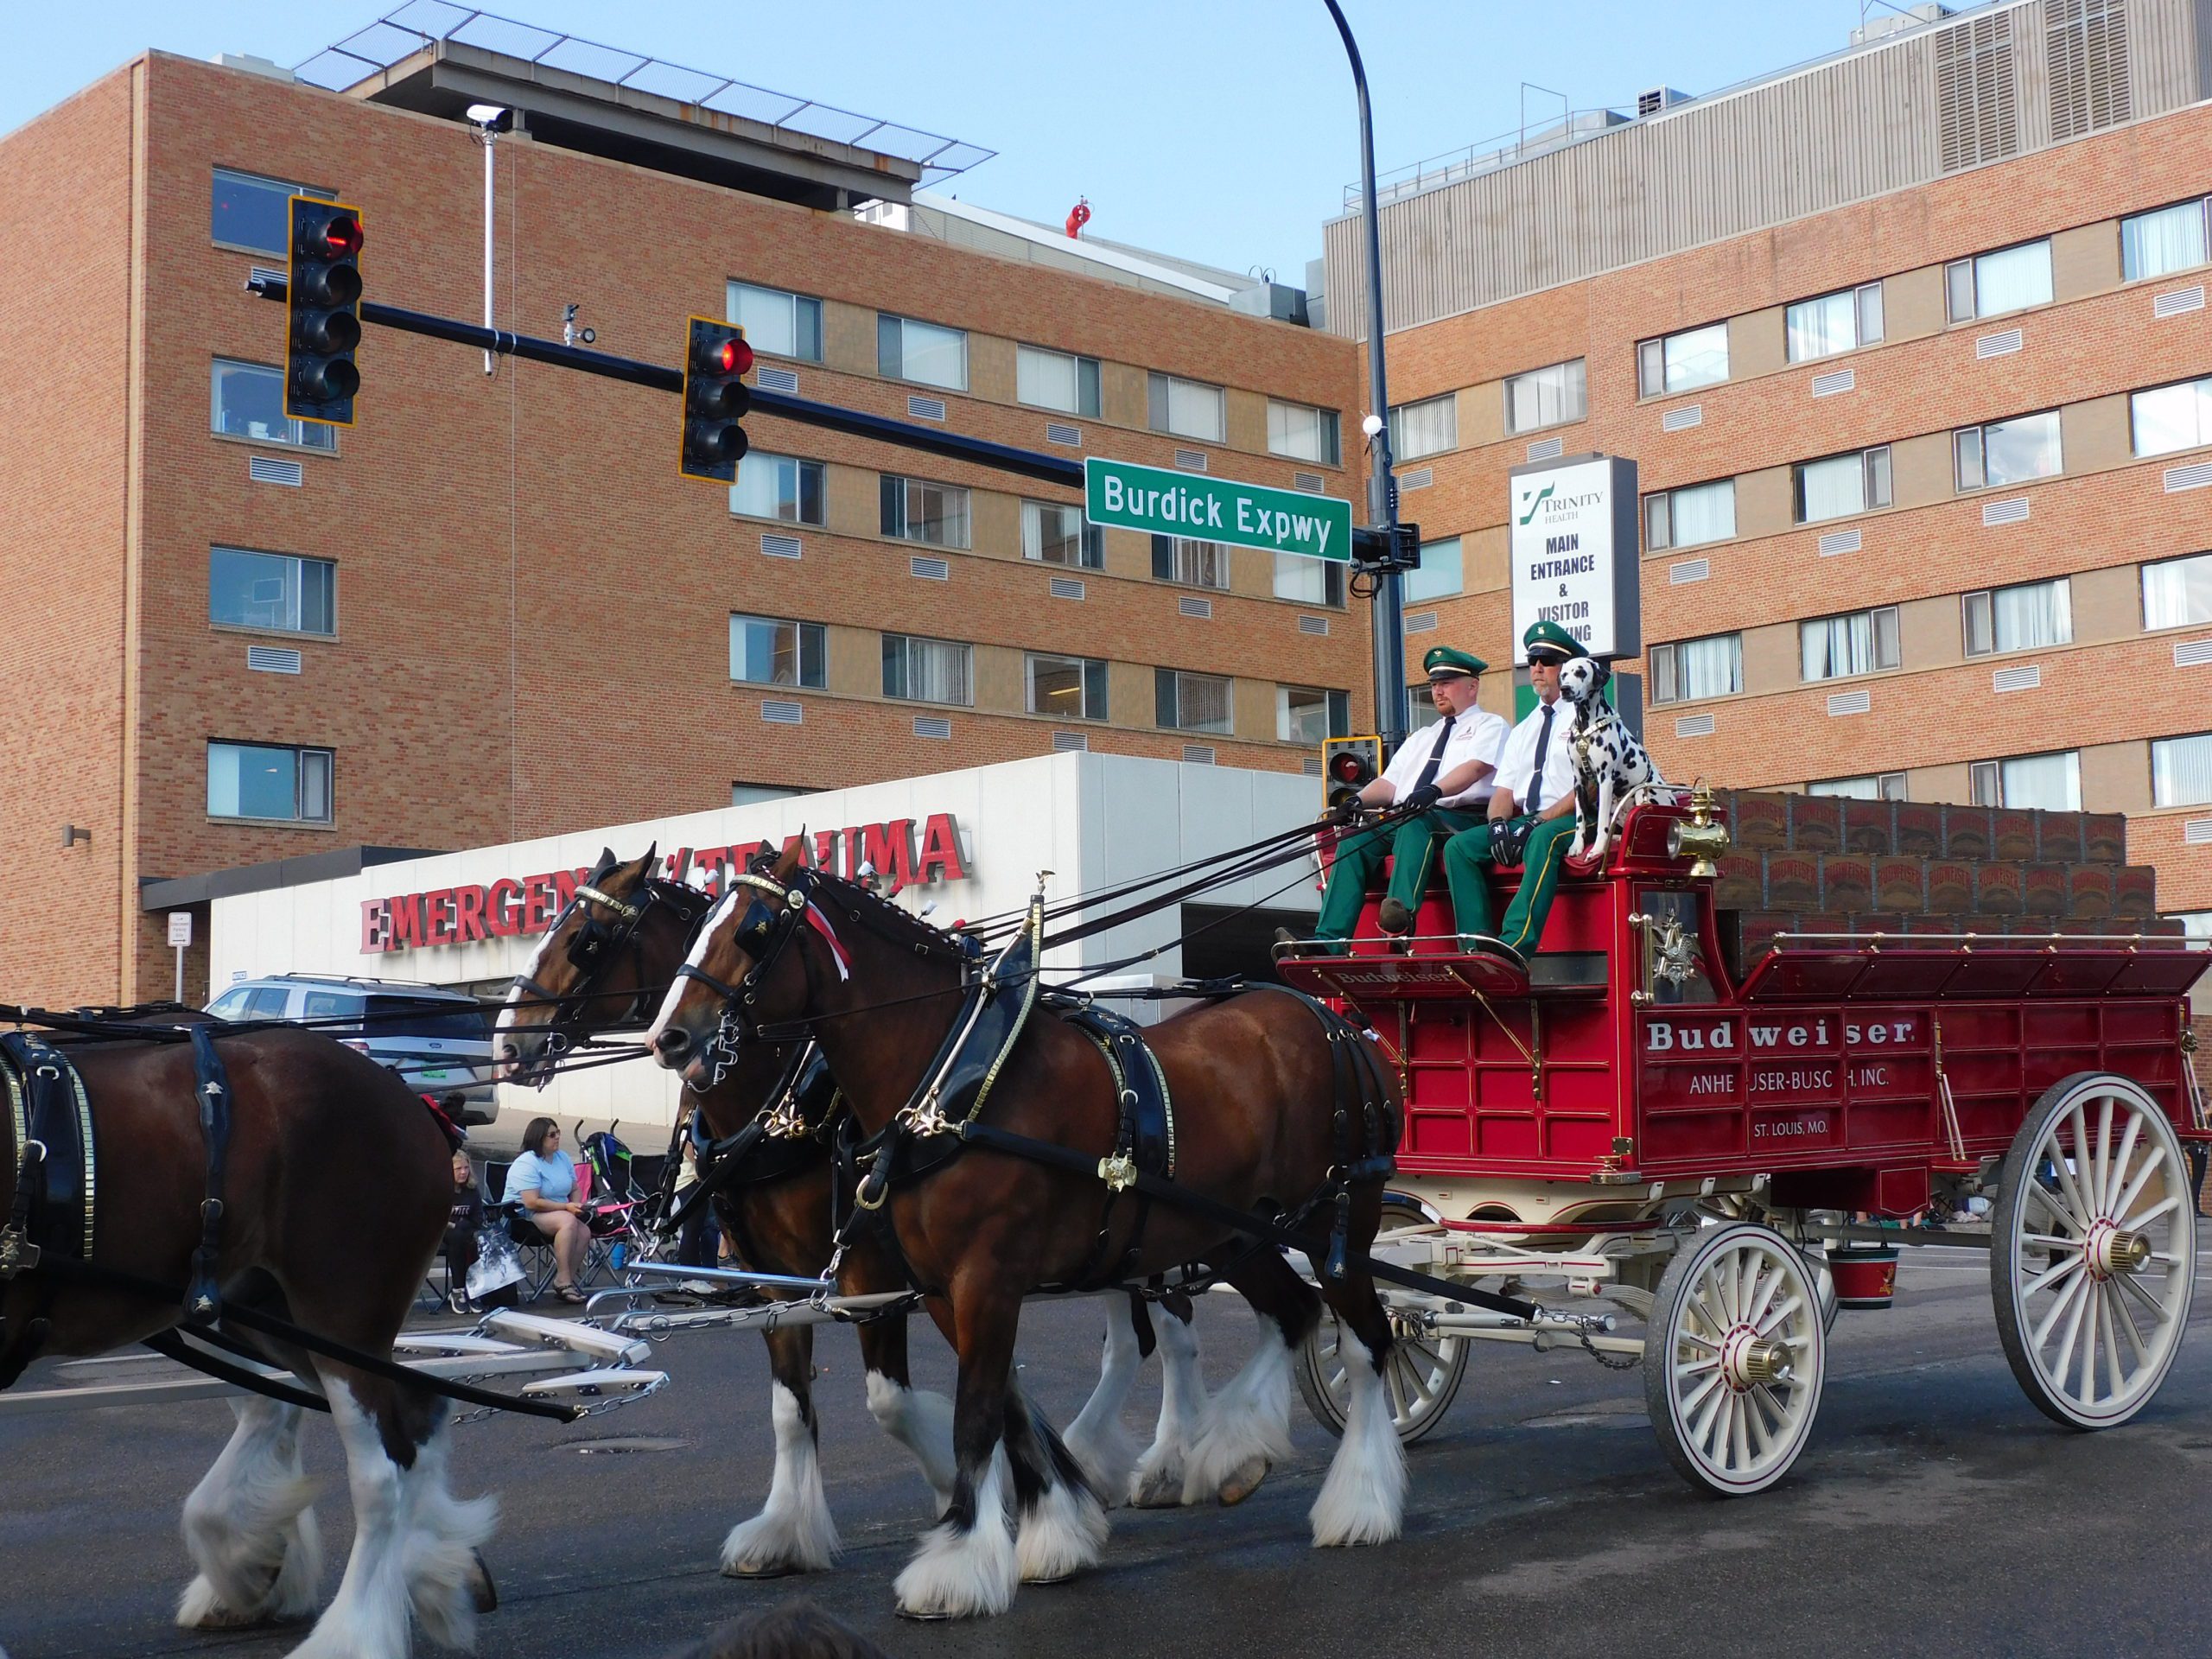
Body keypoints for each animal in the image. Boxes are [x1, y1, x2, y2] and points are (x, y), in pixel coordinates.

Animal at [0, 1026, 493, 1659]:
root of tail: (410, 1101)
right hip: (265, 1315)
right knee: (408, 1414)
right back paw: (431, 1574)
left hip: (339, 1319)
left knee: (381, 1472)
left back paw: (351, 1631)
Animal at [645, 849, 1397, 1618]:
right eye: (697, 930)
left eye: (755, 932)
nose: (669, 1037)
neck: (950, 1083)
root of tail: (1336, 1023)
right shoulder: (929, 1286)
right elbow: (990, 1401)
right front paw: (1054, 1529)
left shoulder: (972, 1275)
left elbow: (975, 1412)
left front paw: (956, 1564)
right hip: (1230, 1233)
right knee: (1292, 1313)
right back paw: (1231, 1447)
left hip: (1337, 1225)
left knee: (1367, 1342)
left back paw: (1359, 1501)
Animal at [1557, 654, 1663, 862]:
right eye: (1564, 674)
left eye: (1580, 672)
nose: (1565, 689)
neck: (1586, 725)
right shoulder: (1579, 781)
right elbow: (1580, 819)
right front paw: (1577, 846)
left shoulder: (1605, 779)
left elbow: (1602, 823)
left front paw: (1598, 849)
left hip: (1643, 795)